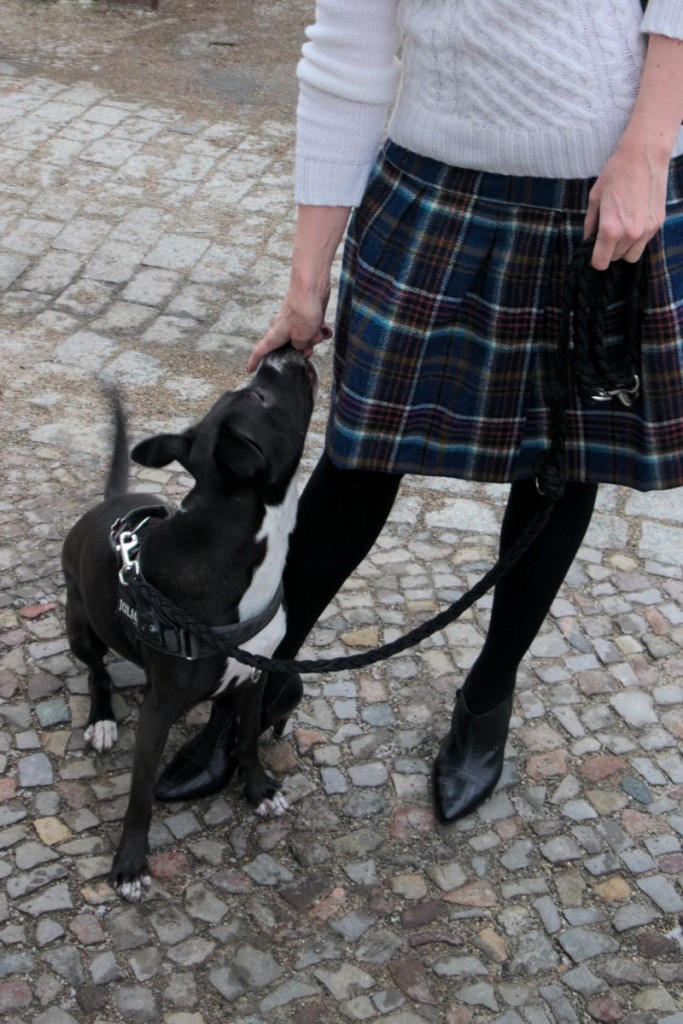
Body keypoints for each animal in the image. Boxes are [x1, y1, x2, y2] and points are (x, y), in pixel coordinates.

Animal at [60, 348, 317, 901]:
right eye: (260, 396)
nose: (283, 351)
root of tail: (106, 503)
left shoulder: (254, 675)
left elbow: (245, 738)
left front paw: (258, 790)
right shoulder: (159, 709)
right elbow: (140, 792)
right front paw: (130, 864)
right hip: (81, 626)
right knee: (97, 672)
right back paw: (102, 720)